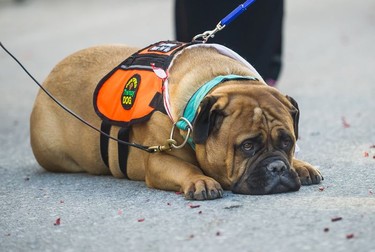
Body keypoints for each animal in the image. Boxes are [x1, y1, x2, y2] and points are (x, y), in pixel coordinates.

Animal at [30, 41, 324, 200]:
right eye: (247, 146)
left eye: (287, 142)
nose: (277, 167)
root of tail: (50, 76)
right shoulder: (159, 160)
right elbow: (186, 168)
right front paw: (201, 181)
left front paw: (299, 165)